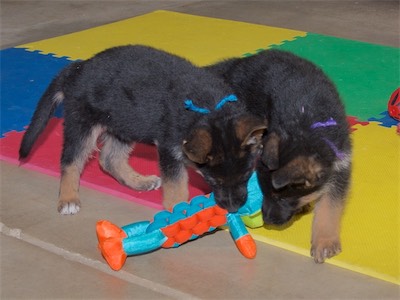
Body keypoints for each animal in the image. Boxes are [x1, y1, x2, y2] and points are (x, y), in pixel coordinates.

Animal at [19, 45, 266, 216]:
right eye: (214, 181)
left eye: (246, 174)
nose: (234, 208)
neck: (210, 109)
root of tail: (77, 68)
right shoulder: (170, 149)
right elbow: (176, 185)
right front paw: (179, 210)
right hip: (82, 124)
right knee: (70, 161)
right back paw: (68, 198)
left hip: (124, 123)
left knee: (109, 159)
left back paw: (139, 182)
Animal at [208, 49, 352, 262]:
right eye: (263, 191)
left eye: (282, 199)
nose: (267, 220)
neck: (307, 127)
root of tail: (237, 63)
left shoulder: (340, 167)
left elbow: (330, 206)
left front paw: (324, 241)